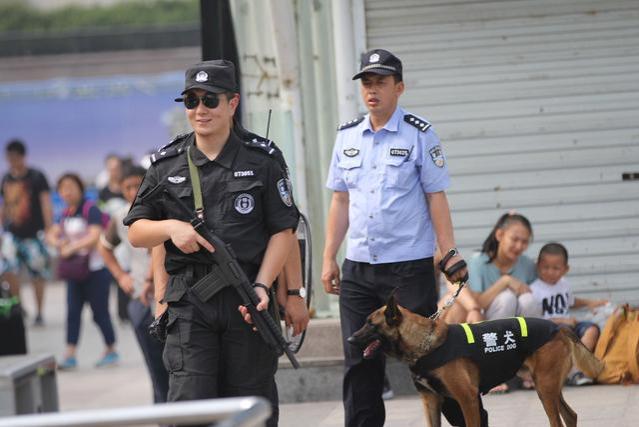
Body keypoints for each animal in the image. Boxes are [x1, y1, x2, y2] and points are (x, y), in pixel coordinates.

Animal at [350, 294, 604, 427]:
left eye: (371, 325)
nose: (350, 339)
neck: (424, 344)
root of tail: (559, 328)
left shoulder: (467, 399)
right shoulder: (431, 401)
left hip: (545, 387)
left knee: (557, 421)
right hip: (546, 387)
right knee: (570, 415)